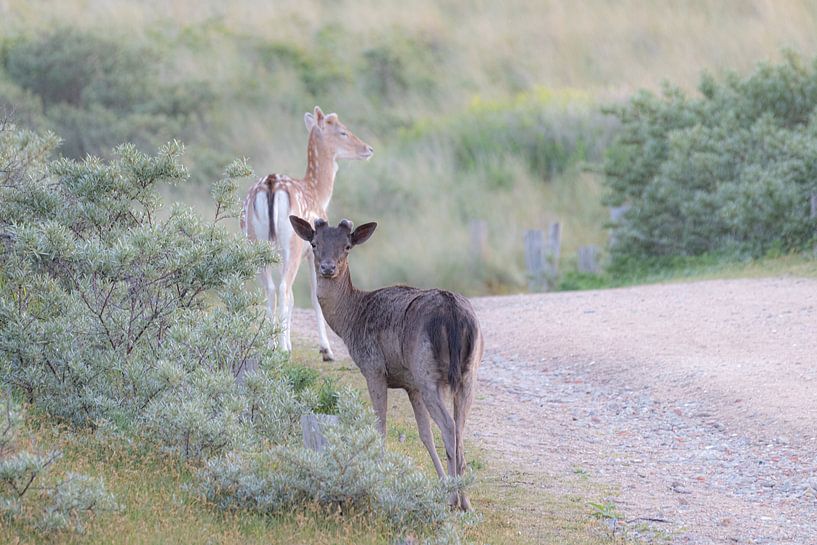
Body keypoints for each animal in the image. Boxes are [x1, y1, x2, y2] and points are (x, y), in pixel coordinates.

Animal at [239, 108, 372, 360]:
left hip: (254, 242)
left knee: (271, 289)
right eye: (342, 131)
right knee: (283, 287)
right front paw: (326, 350)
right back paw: (281, 348)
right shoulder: (312, 252)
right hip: (291, 245)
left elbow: (292, 299)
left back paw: (271, 345)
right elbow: (313, 297)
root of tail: (271, 184)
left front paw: (289, 342)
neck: (319, 193)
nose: (368, 148)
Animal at [290, 214, 482, 510]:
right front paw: (440, 483)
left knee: (450, 427)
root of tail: (453, 314)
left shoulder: (373, 368)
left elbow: (380, 425)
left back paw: (455, 499)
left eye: (347, 246)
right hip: (468, 372)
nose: (327, 267)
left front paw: (378, 476)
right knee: (460, 429)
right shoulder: (410, 383)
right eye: (314, 243)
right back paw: (466, 500)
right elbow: (424, 434)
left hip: (428, 373)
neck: (350, 321)